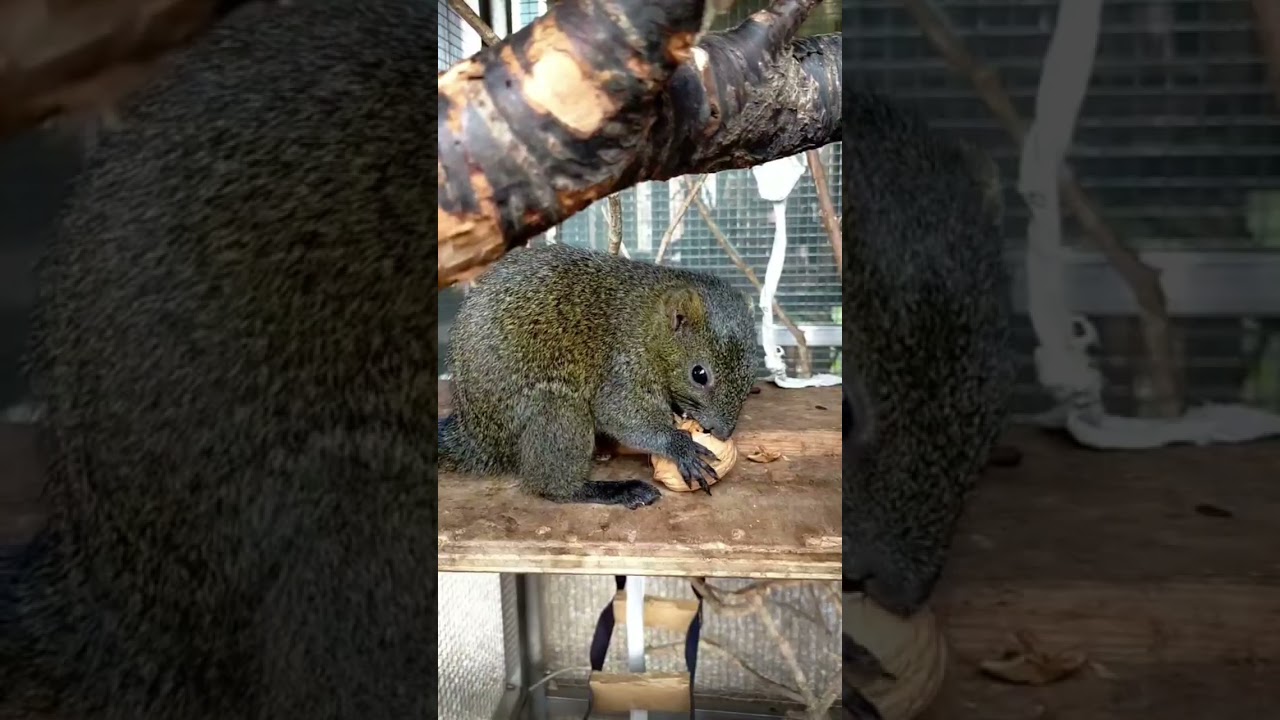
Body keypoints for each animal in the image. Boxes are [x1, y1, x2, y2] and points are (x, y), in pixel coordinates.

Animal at [438, 243, 758, 509]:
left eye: (752, 372)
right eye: (699, 375)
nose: (722, 432)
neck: (649, 324)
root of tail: (474, 436)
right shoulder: (625, 363)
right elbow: (619, 414)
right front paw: (677, 445)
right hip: (554, 408)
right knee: (551, 484)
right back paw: (610, 490)